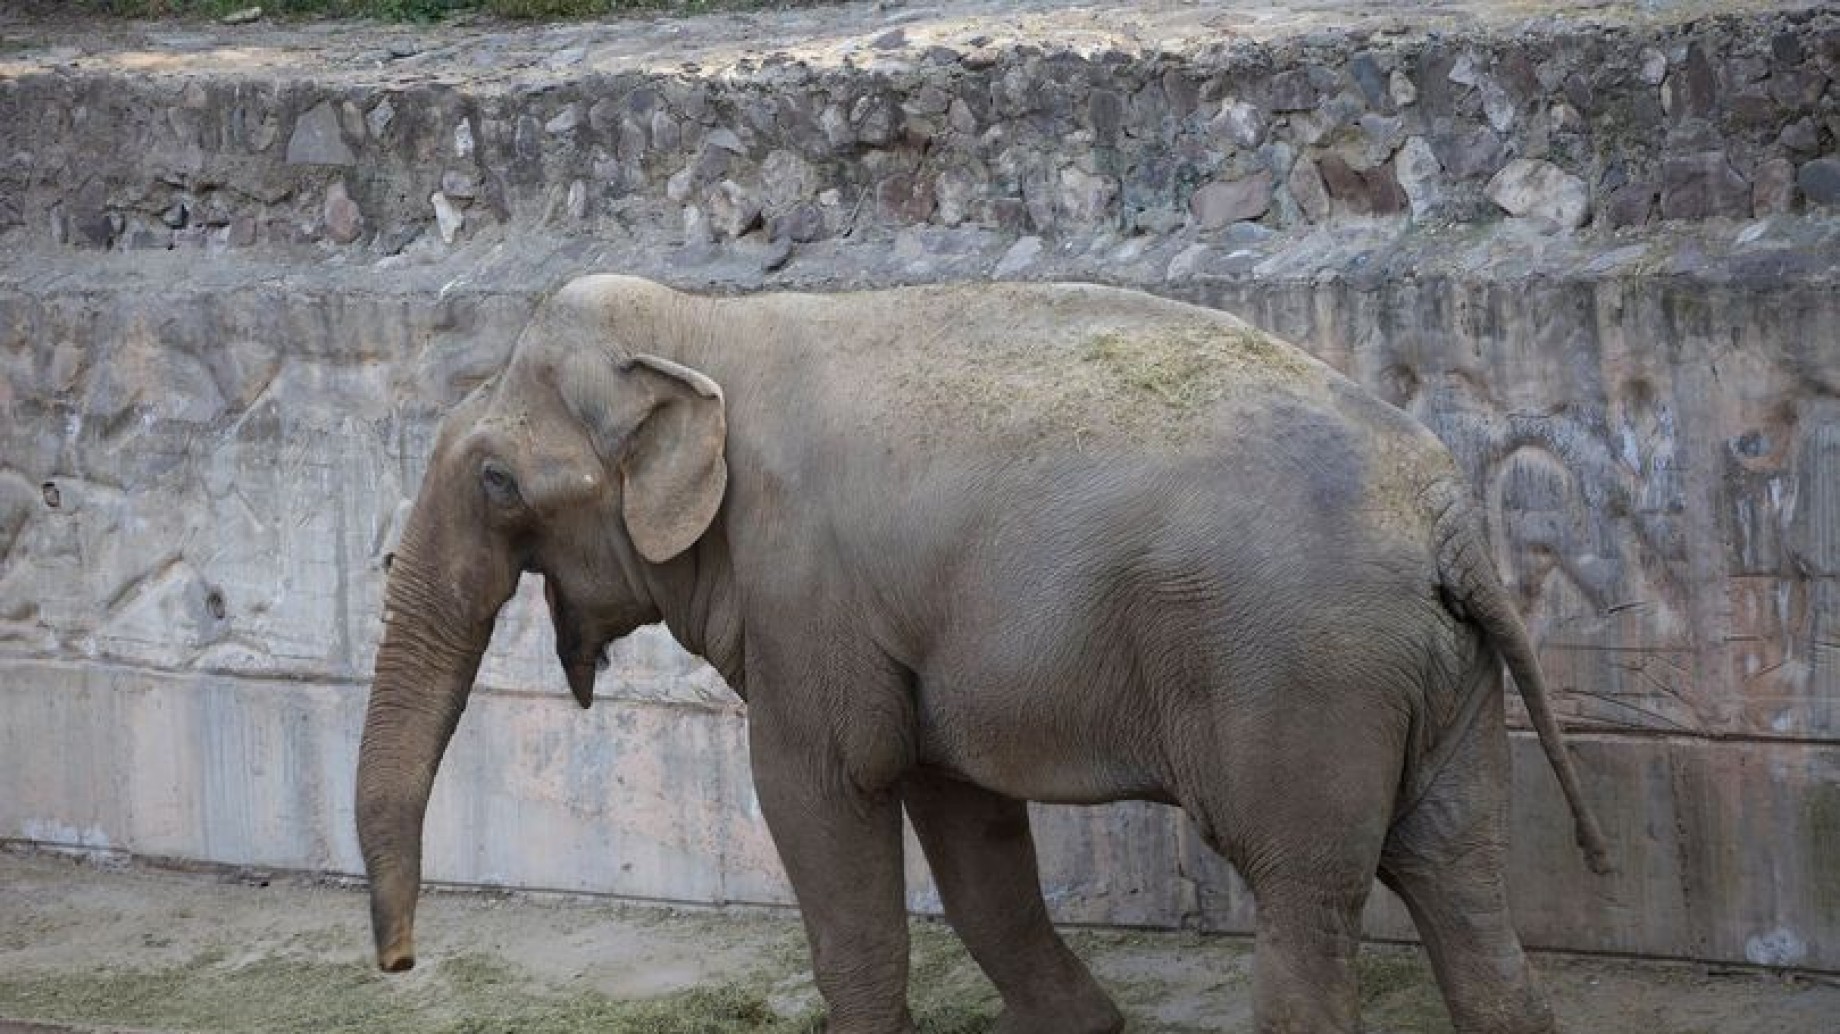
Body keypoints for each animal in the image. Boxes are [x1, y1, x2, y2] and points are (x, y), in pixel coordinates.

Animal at [354, 274, 1612, 1034]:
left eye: (496, 480)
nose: (401, 964)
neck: (704, 325)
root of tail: (1449, 525)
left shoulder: (805, 597)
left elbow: (819, 795)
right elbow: (963, 816)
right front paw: (1083, 1026)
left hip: (1304, 674)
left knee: (1310, 887)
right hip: (1437, 676)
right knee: (1459, 869)